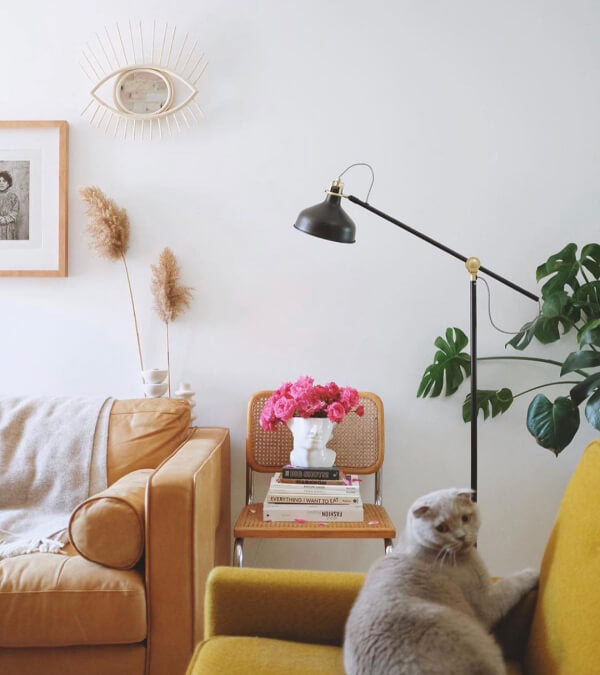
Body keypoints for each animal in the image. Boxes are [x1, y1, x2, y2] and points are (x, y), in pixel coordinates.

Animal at [342, 488, 540, 672]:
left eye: (465, 518)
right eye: (441, 528)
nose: (461, 536)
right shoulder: (486, 601)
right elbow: (512, 583)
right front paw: (534, 572)